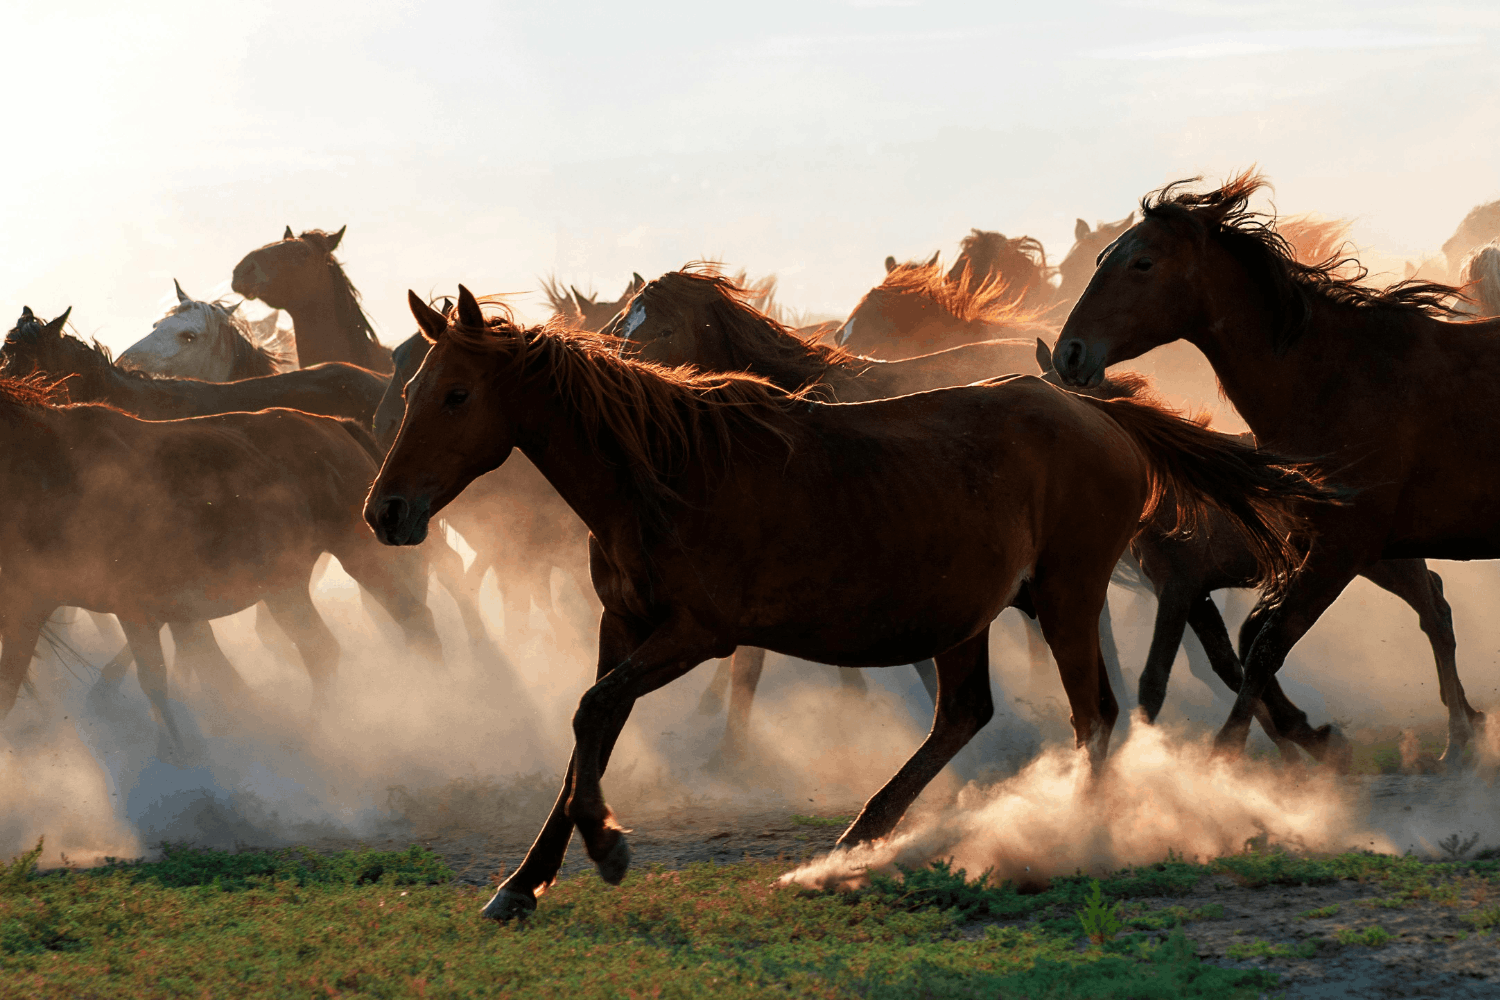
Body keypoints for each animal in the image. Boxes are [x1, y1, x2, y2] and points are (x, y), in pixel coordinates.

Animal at [367, 285, 1332, 920]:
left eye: (456, 393)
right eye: (414, 390)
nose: (387, 511)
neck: (667, 474)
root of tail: (1095, 412)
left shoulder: (697, 635)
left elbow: (594, 714)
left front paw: (607, 848)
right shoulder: (622, 627)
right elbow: (587, 731)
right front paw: (522, 882)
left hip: (1063, 597)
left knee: (1092, 714)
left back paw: (1075, 838)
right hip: (970, 613)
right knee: (966, 713)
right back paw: (857, 842)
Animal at [1053, 170, 1495, 763]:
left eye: (1142, 263)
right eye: (1100, 257)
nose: (1070, 353)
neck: (1337, 379)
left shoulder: (1337, 550)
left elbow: (1262, 648)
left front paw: (1230, 759)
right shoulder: (1306, 551)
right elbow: (1247, 646)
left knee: (1432, 609)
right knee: (1434, 607)